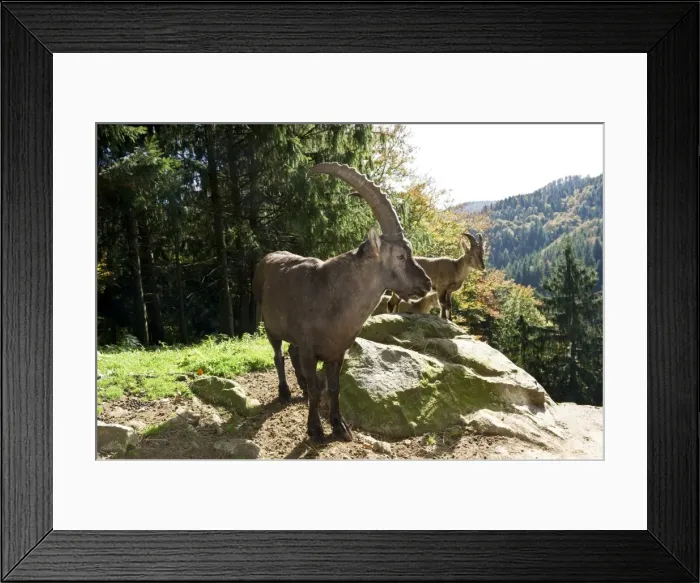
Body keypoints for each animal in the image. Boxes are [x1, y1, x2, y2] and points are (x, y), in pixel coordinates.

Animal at [252, 163, 432, 442]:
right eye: (401, 256)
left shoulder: (337, 352)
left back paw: (301, 388)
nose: (427, 284)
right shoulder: (310, 350)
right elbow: (319, 389)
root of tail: (265, 259)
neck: (332, 299)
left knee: (291, 354)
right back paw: (285, 392)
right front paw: (315, 430)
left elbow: (334, 388)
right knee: (279, 356)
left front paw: (340, 427)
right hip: (269, 324)